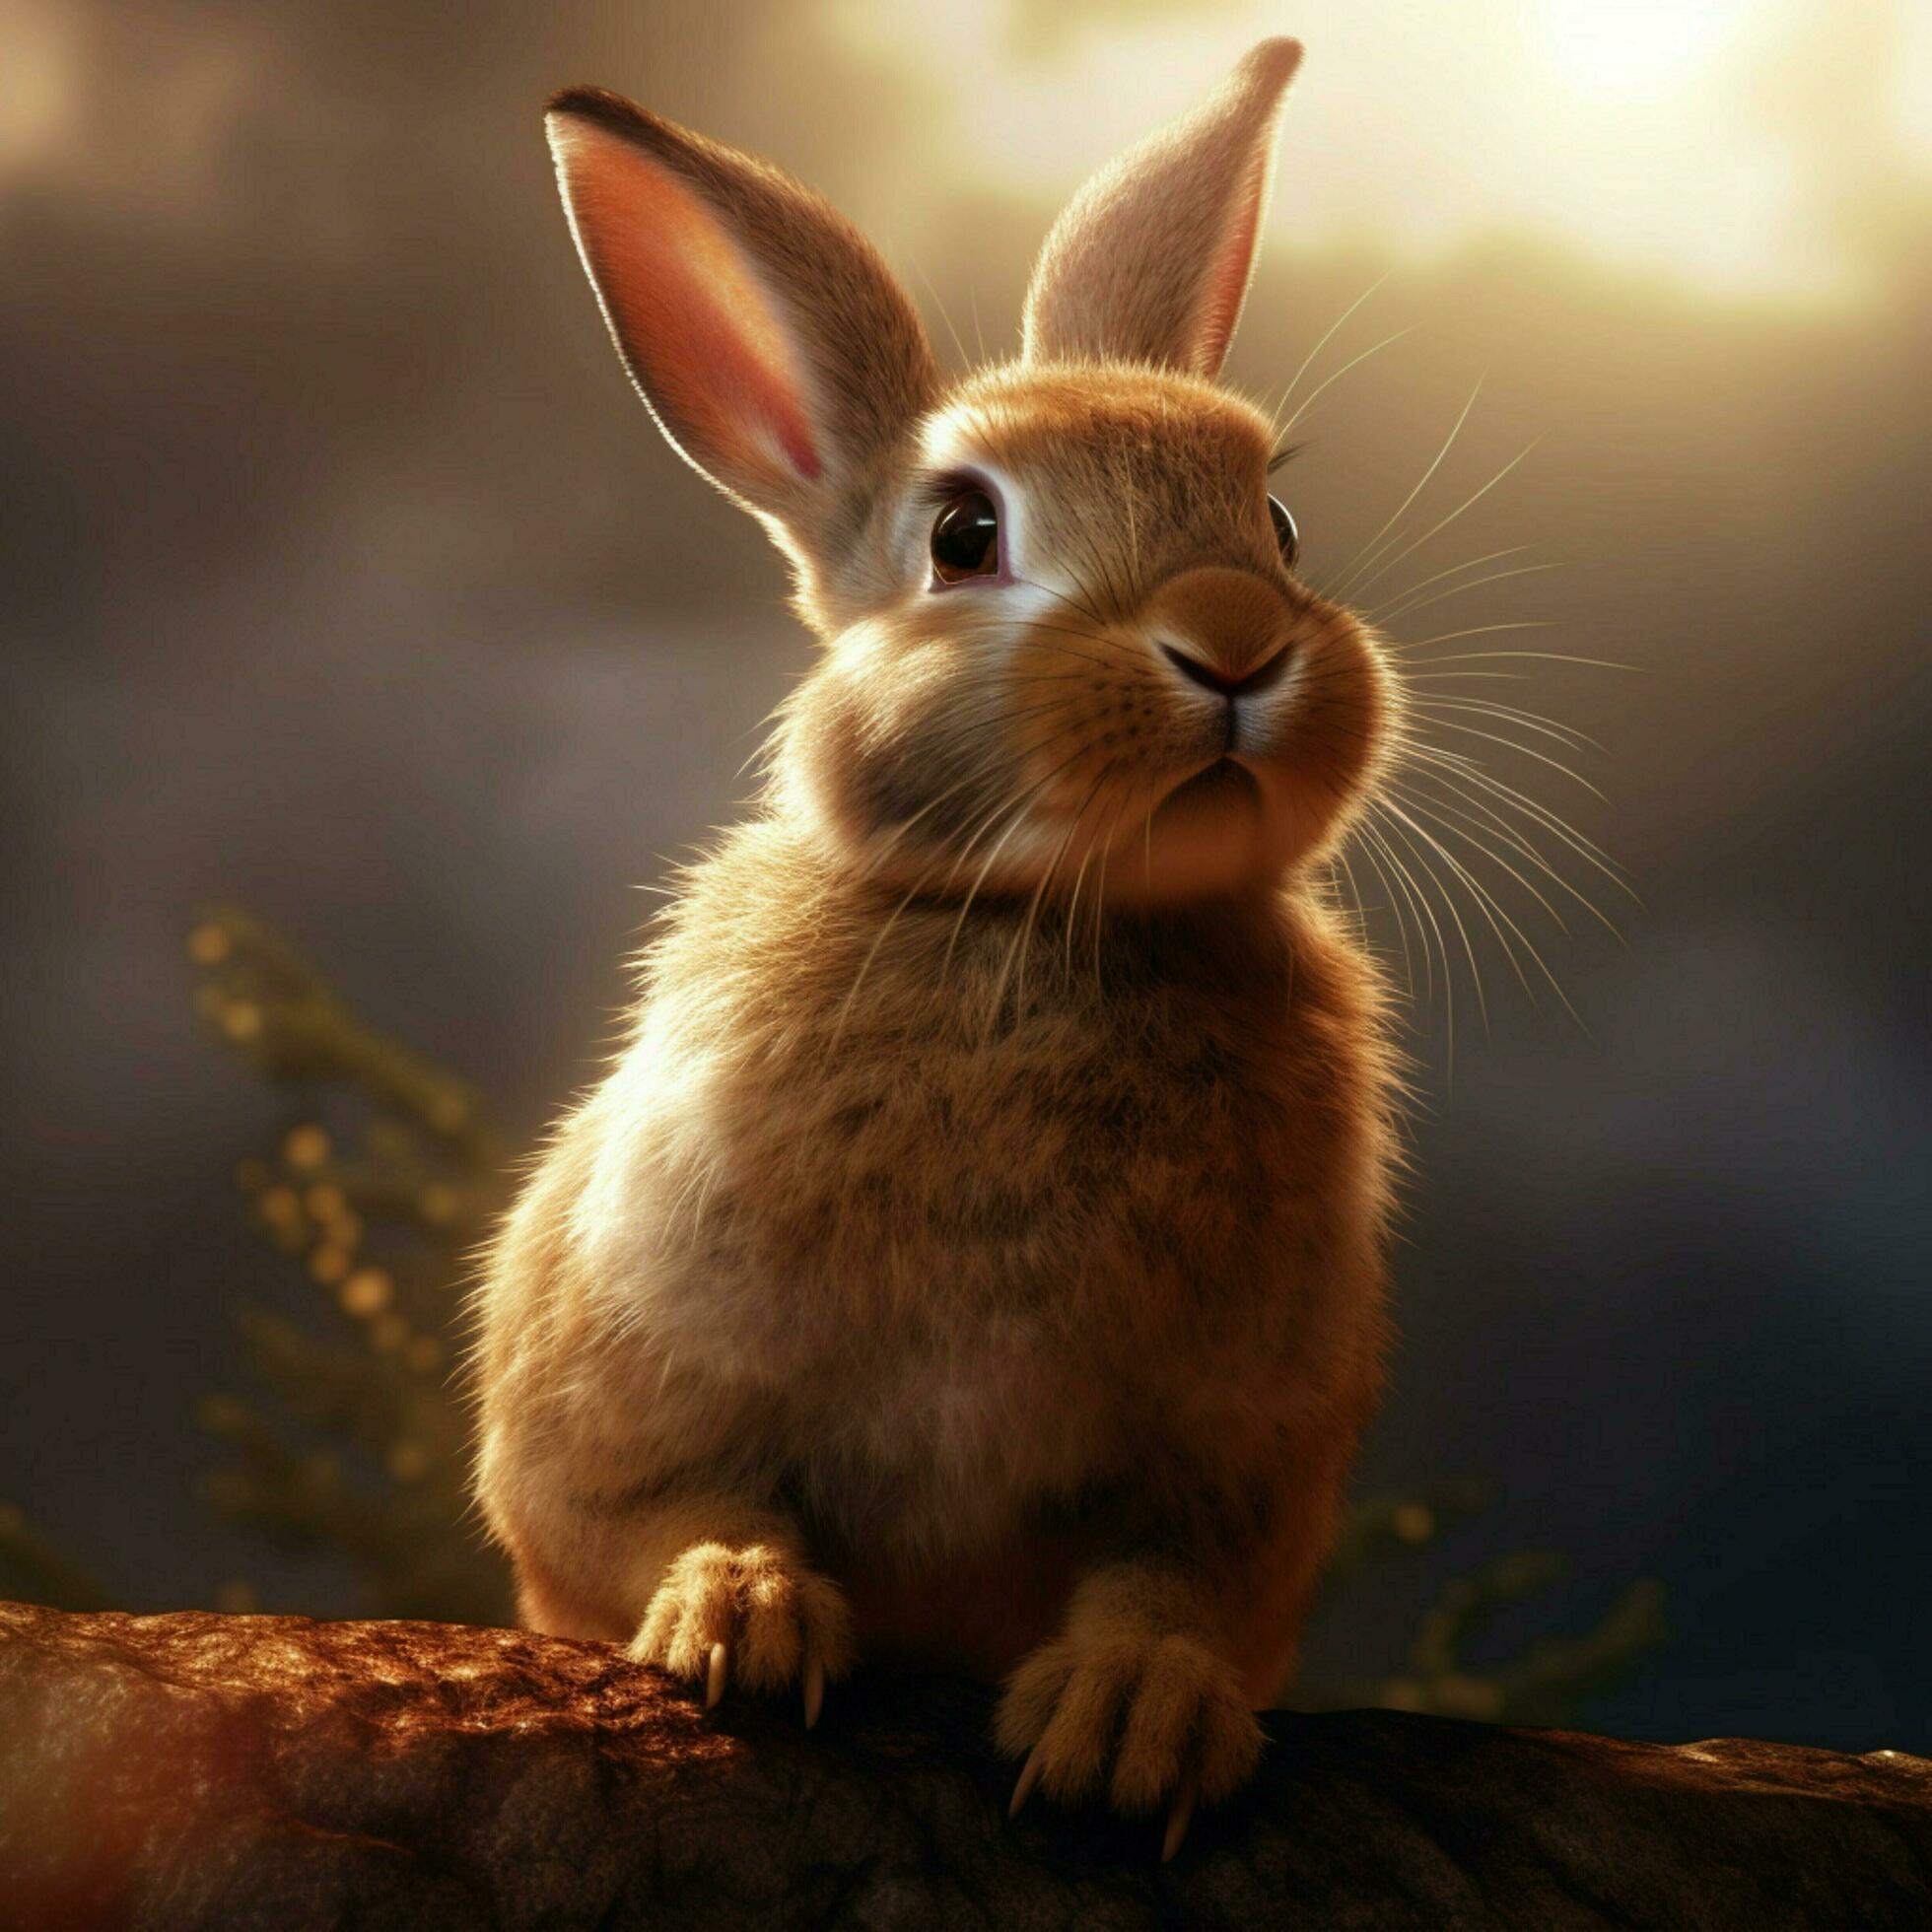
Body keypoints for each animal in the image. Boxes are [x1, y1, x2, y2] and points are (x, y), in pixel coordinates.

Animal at [473, 36, 1399, 1857]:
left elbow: (1170, 1591)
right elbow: (650, 1508)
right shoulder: (608, 1383)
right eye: (964, 536)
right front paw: (739, 1617)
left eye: (1277, 524)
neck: (1048, 923)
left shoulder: (1235, 1461)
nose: (1238, 642)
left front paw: (1130, 1720)